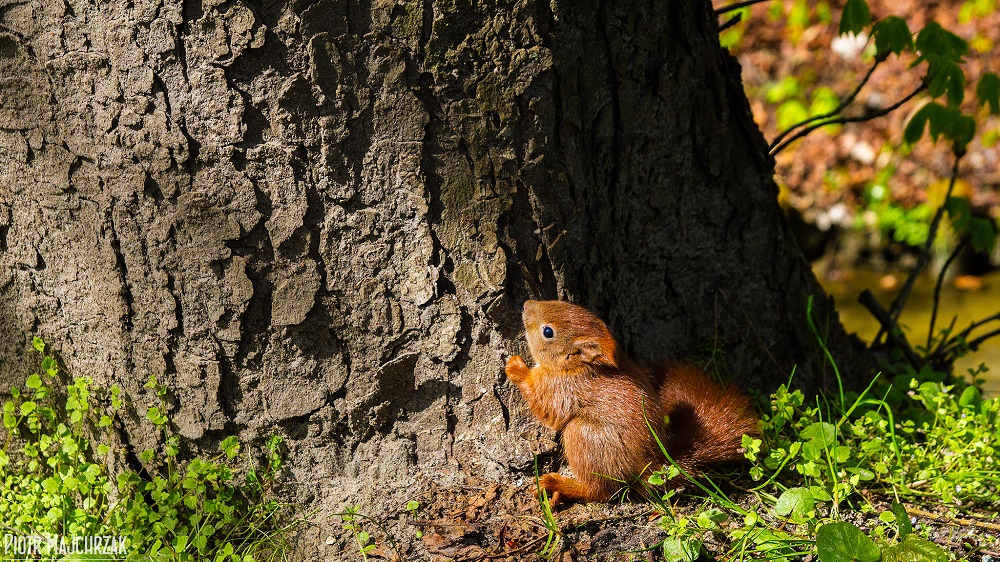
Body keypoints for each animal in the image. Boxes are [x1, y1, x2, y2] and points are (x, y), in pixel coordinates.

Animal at [504, 298, 752, 504]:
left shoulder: (561, 389)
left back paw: (560, 485)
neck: (576, 367)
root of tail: (647, 467)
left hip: (583, 436)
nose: (526, 304)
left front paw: (516, 368)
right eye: (564, 302)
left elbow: (545, 408)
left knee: (600, 491)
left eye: (548, 331)